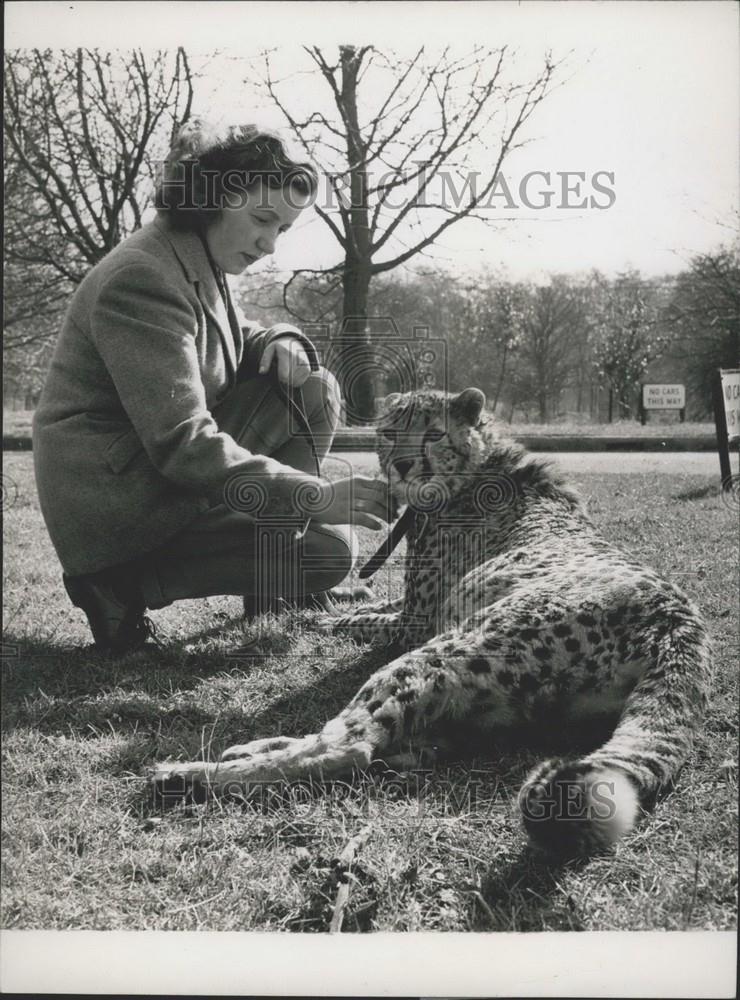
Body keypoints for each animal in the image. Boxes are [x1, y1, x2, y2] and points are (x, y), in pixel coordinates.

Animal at [153, 386, 712, 856]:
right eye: (387, 432)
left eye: (433, 433)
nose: (401, 465)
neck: (474, 469)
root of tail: (679, 623)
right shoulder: (411, 616)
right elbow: (359, 609)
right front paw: (323, 608)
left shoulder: (416, 625)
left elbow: (354, 621)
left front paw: (316, 621)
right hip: (491, 699)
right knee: (392, 746)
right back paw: (246, 750)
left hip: (446, 651)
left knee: (350, 748)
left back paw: (189, 775)